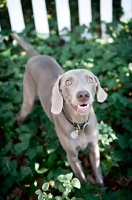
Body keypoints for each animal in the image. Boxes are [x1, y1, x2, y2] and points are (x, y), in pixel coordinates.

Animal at [11, 33, 107, 186]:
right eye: (68, 82)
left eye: (90, 79)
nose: (83, 95)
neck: (79, 124)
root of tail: (37, 56)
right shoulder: (72, 157)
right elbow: (82, 180)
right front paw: (87, 189)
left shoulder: (94, 148)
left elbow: (98, 173)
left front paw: (101, 189)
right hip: (28, 99)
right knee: (20, 114)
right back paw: (20, 129)